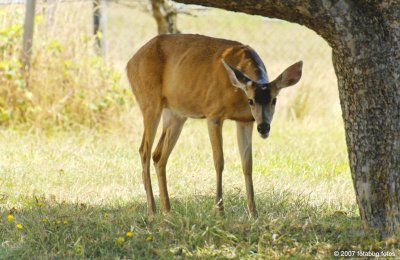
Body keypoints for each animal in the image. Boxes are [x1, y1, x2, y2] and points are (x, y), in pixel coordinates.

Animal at [126, 34, 302, 217]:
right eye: (251, 100)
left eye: (274, 100)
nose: (264, 127)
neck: (237, 93)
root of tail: (130, 63)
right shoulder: (213, 114)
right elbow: (219, 161)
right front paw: (219, 210)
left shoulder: (245, 121)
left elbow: (247, 164)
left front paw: (253, 212)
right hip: (149, 101)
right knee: (144, 151)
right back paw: (152, 211)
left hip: (176, 113)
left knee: (159, 155)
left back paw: (167, 211)